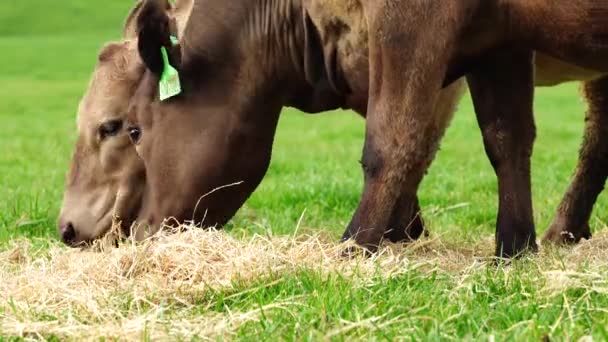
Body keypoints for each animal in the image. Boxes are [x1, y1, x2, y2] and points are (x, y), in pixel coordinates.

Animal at [126, 0, 608, 258]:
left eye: (134, 131)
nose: (138, 232)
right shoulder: (501, 39)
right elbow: (507, 138)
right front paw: (514, 248)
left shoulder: (409, 22)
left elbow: (392, 137)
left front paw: (354, 246)